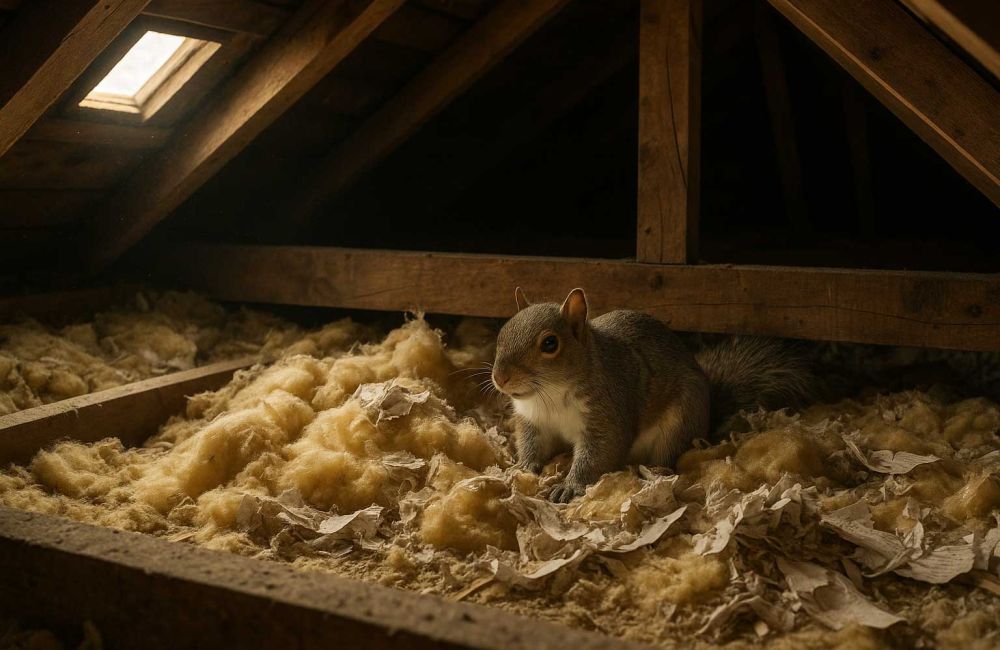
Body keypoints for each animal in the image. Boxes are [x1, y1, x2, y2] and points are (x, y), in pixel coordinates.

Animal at [491, 287, 815, 503]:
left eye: (550, 344)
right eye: (502, 332)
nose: (500, 378)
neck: (551, 396)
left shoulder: (608, 412)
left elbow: (598, 453)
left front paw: (570, 486)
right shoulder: (533, 421)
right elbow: (531, 444)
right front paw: (522, 468)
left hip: (680, 422)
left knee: (669, 455)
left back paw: (654, 472)